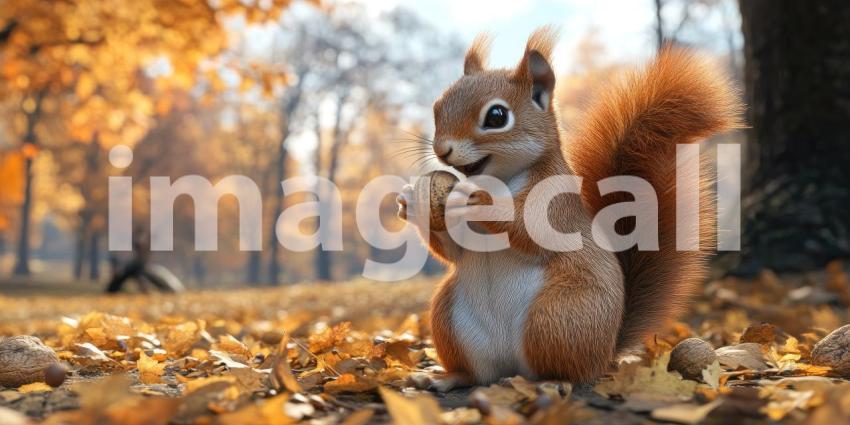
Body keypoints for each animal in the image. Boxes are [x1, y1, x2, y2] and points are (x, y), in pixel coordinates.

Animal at [397, 27, 742, 390]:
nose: (442, 150)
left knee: (568, 370)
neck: (501, 180)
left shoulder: (556, 205)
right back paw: (445, 378)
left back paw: (554, 382)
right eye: (438, 106)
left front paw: (481, 200)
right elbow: (453, 251)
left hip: (560, 315)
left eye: (496, 116)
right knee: (477, 374)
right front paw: (413, 202)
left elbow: (531, 229)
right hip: (450, 318)